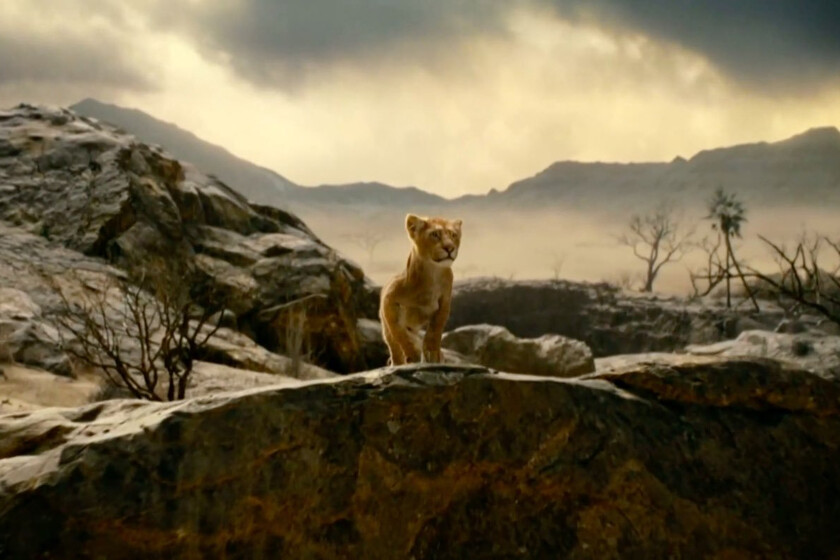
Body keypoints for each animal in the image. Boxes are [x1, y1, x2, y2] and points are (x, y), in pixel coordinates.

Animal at [379, 214, 463, 365]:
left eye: (453, 235)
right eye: (435, 234)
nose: (450, 248)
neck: (432, 274)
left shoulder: (445, 301)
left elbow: (435, 329)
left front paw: (433, 353)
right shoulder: (388, 299)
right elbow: (399, 332)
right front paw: (413, 354)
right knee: (394, 345)